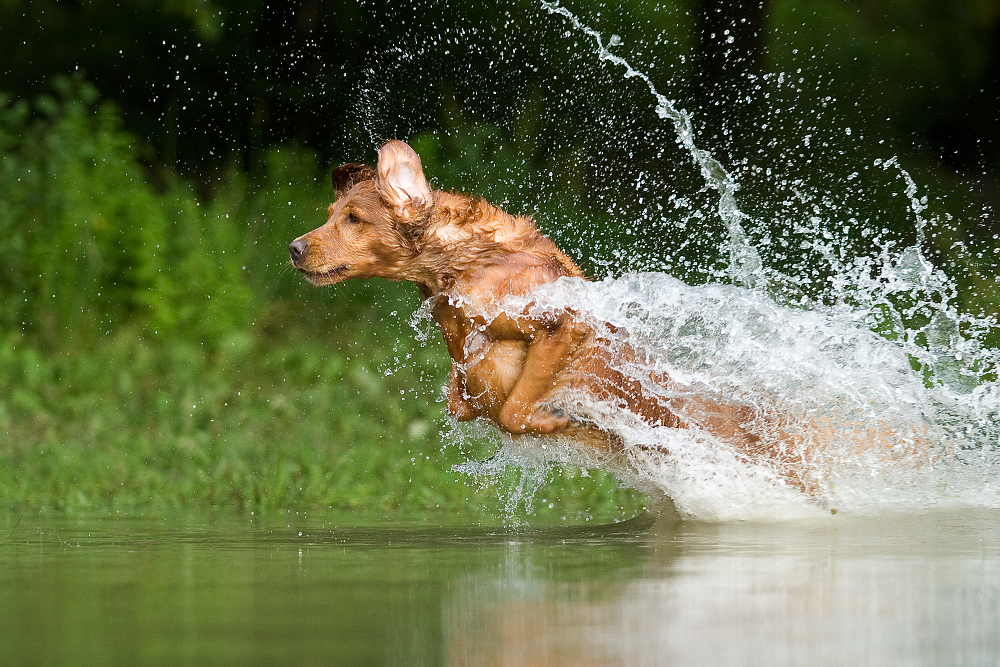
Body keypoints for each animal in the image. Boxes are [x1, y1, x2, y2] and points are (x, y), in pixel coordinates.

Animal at [286, 141, 800, 482]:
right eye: (330, 213)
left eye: (354, 219)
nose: (293, 248)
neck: (465, 265)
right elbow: (463, 404)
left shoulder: (562, 324)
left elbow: (513, 410)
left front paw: (557, 420)